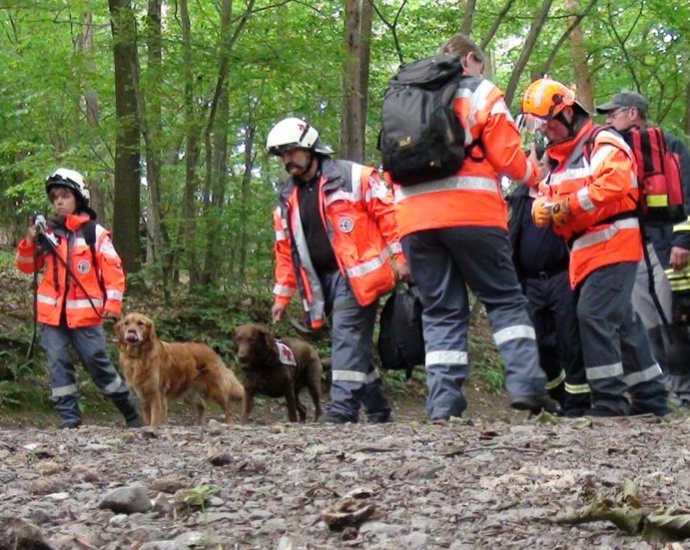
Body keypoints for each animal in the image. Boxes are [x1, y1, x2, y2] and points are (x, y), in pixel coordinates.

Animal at [117, 314, 246, 426]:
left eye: (140, 323)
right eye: (126, 323)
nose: (131, 331)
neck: (137, 357)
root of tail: (211, 350)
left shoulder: (156, 395)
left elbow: (155, 419)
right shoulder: (143, 397)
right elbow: (148, 419)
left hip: (215, 390)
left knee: (228, 409)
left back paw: (229, 423)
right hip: (189, 394)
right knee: (202, 405)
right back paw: (198, 424)